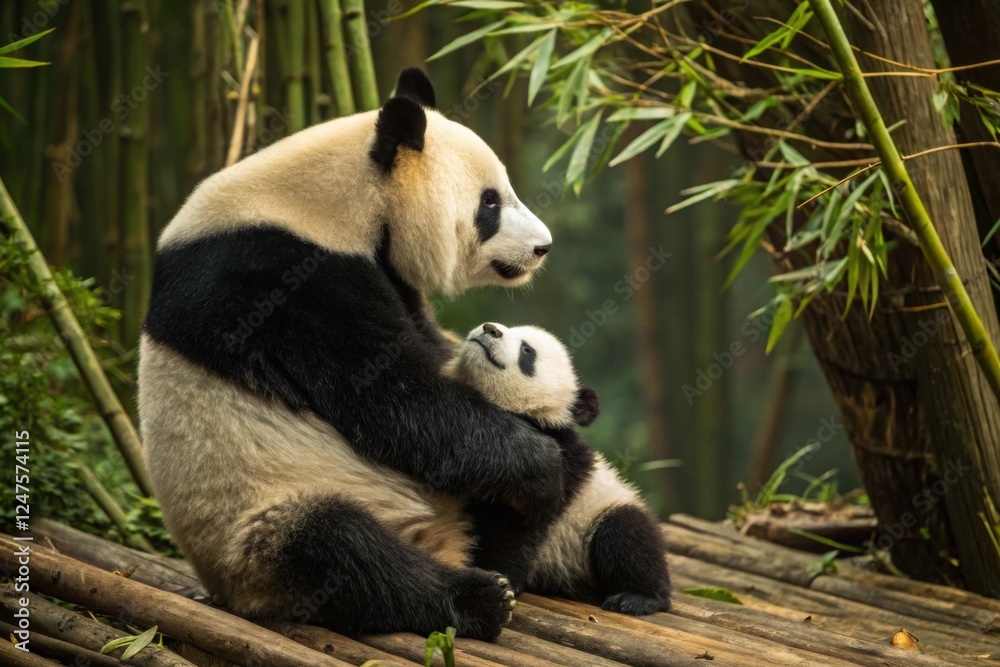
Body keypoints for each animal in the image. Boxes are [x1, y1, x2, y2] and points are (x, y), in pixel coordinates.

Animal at [137, 69, 568, 642]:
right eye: (490, 203)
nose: (543, 248)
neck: (333, 201)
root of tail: (439, 538)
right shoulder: (280, 282)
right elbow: (391, 398)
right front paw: (539, 463)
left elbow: (430, 355)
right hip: (259, 521)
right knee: (338, 549)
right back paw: (477, 598)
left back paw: (503, 563)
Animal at [444, 322, 672, 615]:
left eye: (527, 351)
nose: (490, 328)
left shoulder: (557, 468)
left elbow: (519, 526)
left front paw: (501, 579)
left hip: (599, 516)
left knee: (626, 535)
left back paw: (639, 597)